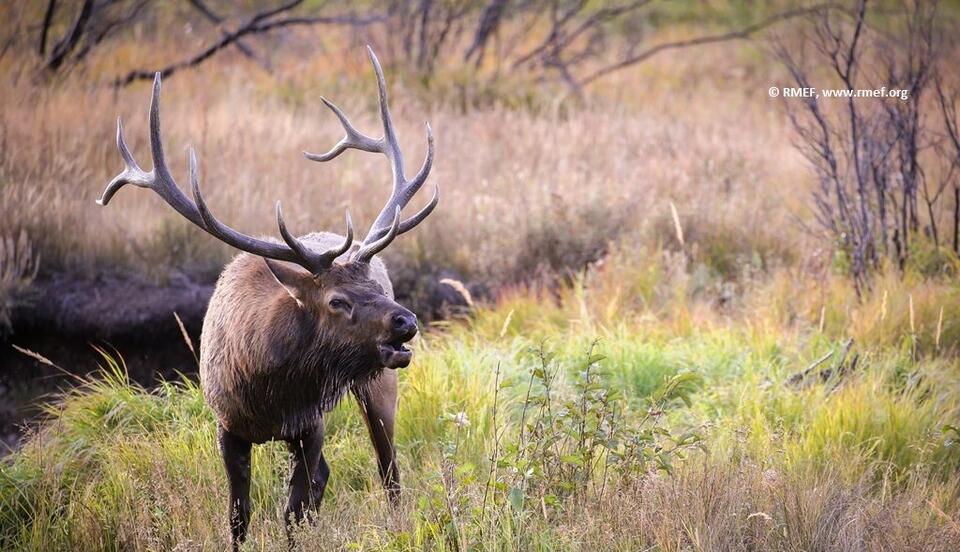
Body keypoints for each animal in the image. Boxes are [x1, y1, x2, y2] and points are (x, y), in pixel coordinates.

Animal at [96, 47, 437, 548]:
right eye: (337, 301)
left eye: (375, 288)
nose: (405, 322)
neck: (269, 389)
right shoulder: (227, 426)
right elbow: (239, 515)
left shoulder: (309, 424)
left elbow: (294, 511)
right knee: (332, 477)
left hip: (378, 385)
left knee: (387, 469)